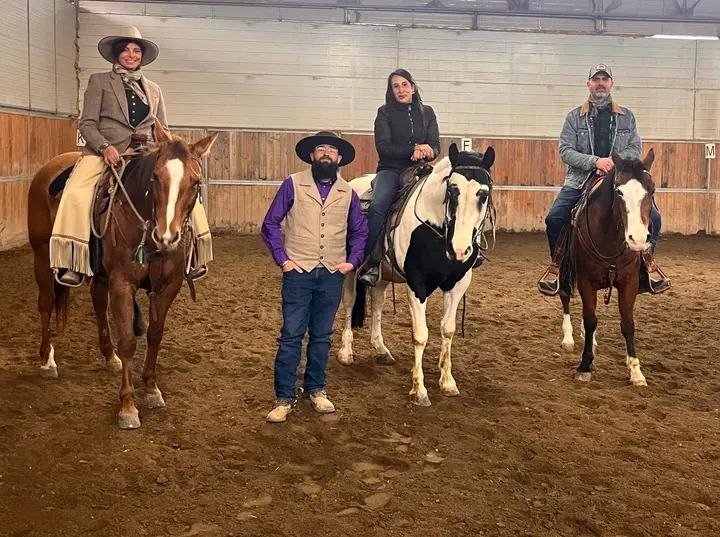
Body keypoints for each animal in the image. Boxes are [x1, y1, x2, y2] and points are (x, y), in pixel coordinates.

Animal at [28, 121, 218, 428]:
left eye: (195, 182)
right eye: (156, 176)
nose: (167, 236)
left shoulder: (168, 286)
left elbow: (154, 334)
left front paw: (151, 389)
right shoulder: (122, 283)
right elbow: (129, 339)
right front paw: (128, 406)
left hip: (100, 274)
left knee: (97, 303)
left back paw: (109, 357)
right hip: (42, 255)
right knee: (45, 304)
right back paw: (47, 360)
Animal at [340, 143, 492, 406]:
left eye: (483, 194)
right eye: (452, 190)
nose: (460, 249)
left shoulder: (459, 284)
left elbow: (448, 329)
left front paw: (447, 382)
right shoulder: (417, 285)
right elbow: (421, 335)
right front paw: (419, 390)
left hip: (382, 274)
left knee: (377, 303)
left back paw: (381, 350)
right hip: (351, 271)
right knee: (350, 303)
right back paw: (346, 352)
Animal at [556, 149, 660, 386]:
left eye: (652, 190)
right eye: (619, 192)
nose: (637, 240)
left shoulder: (629, 282)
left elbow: (627, 323)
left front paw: (635, 370)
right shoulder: (585, 281)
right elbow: (590, 320)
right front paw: (585, 366)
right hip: (565, 271)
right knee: (565, 296)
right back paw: (568, 338)